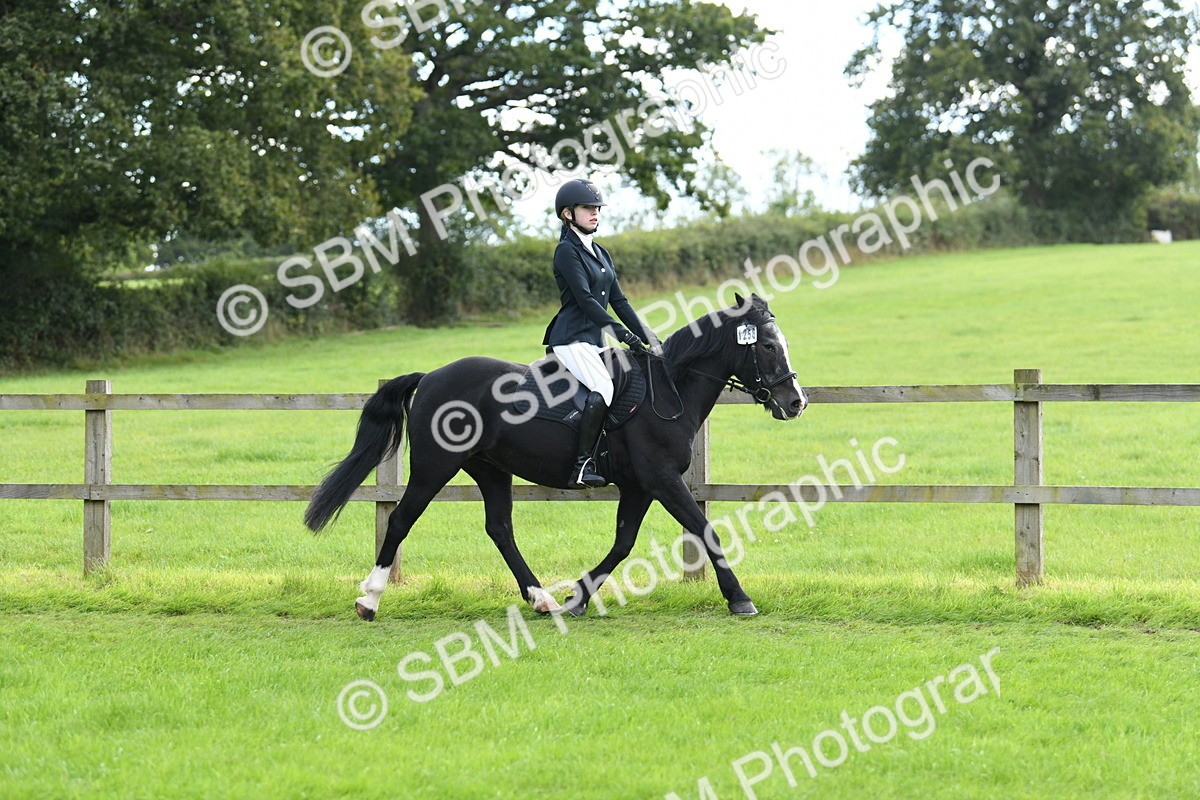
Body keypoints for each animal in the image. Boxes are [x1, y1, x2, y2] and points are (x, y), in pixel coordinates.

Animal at [304, 293, 807, 620]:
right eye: (766, 345)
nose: (796, 401)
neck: (670, 388)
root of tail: (430, 377)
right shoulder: (662, 480)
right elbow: (705, 531)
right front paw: (740, 599)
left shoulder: (640, 486)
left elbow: (623, 543)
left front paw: (577, 598)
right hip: (434, 468)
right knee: (401, 520)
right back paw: (369, 600)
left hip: (490, 469)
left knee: (500, 529)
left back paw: (541, 598)